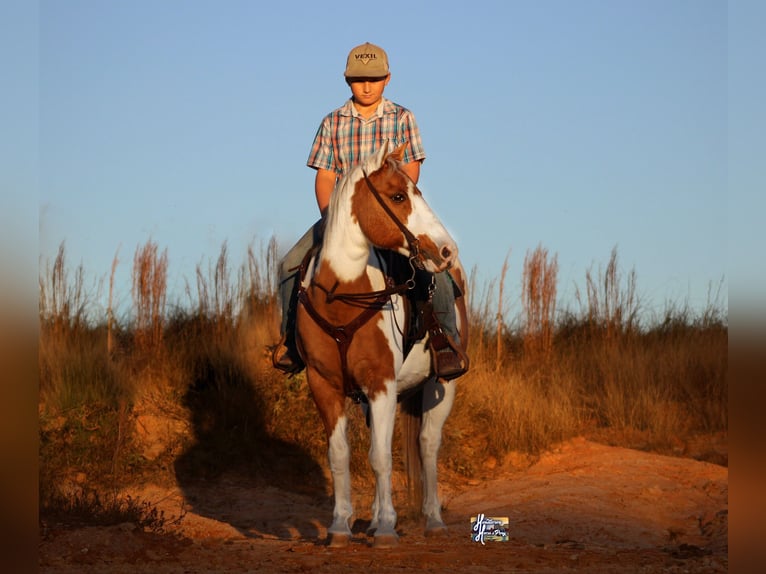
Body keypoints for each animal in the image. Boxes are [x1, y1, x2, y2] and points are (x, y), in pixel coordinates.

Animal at [296, 144, 472, 548]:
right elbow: (340, 456)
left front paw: (389, 529)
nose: (447, 250)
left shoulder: (381, 383)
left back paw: (432, 520)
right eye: (397, 197)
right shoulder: (324, 385)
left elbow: (381, 457)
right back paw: (375, 519)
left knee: (427, 445)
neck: (342, 295)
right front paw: (340, 527)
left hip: (442, 385)